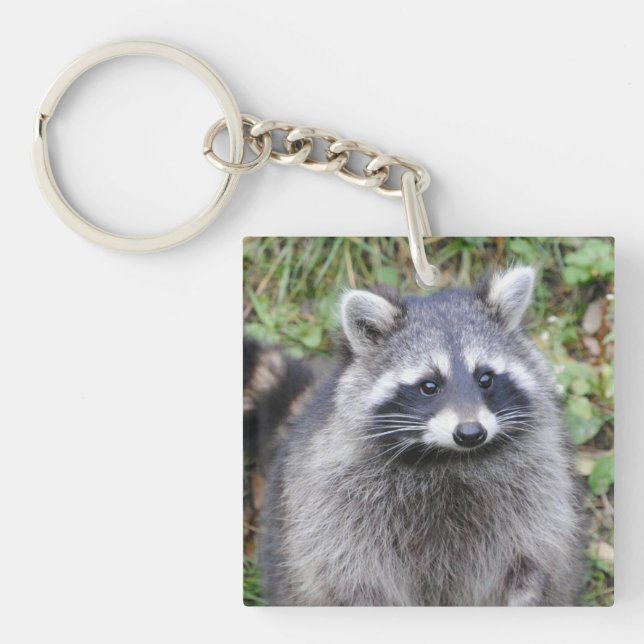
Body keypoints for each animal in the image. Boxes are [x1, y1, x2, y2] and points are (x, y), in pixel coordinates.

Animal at [254, 266, 588, 606]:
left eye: (485, 378)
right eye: (429, 386)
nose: (470, 433)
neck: (446, 458)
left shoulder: (536, 485)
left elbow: (533, 560)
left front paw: (525, 594)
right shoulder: (334, 504)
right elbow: (348, 576)